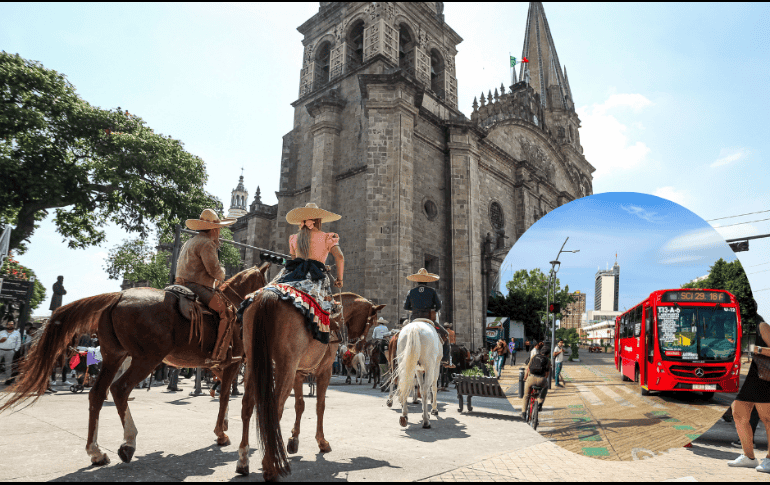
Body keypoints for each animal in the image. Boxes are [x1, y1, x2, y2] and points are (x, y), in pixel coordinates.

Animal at [0, 262, 270, 466]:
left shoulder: (219, 364)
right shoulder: (233, 362)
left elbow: (222, 392)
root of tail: (118, 295)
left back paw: (96, 452)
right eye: (265, 281)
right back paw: (128, 443)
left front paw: (223, 425)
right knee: (119, 389)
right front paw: (221, 433)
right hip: (146, 358)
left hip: (114, 356)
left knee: (97, 393)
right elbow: (224, 396)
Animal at [232, 290, 380, 478]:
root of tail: (268, 297)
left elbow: (300, 405)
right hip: (284, 369)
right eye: (372, 322)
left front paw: (293, 440)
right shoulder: (325, 371)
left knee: (247, 406)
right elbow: (320, 406)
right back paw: (270, 463)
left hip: (254, 365)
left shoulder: (298, 373)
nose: (358, 346)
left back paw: (243, 461)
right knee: (274, 409)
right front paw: (322, 441)